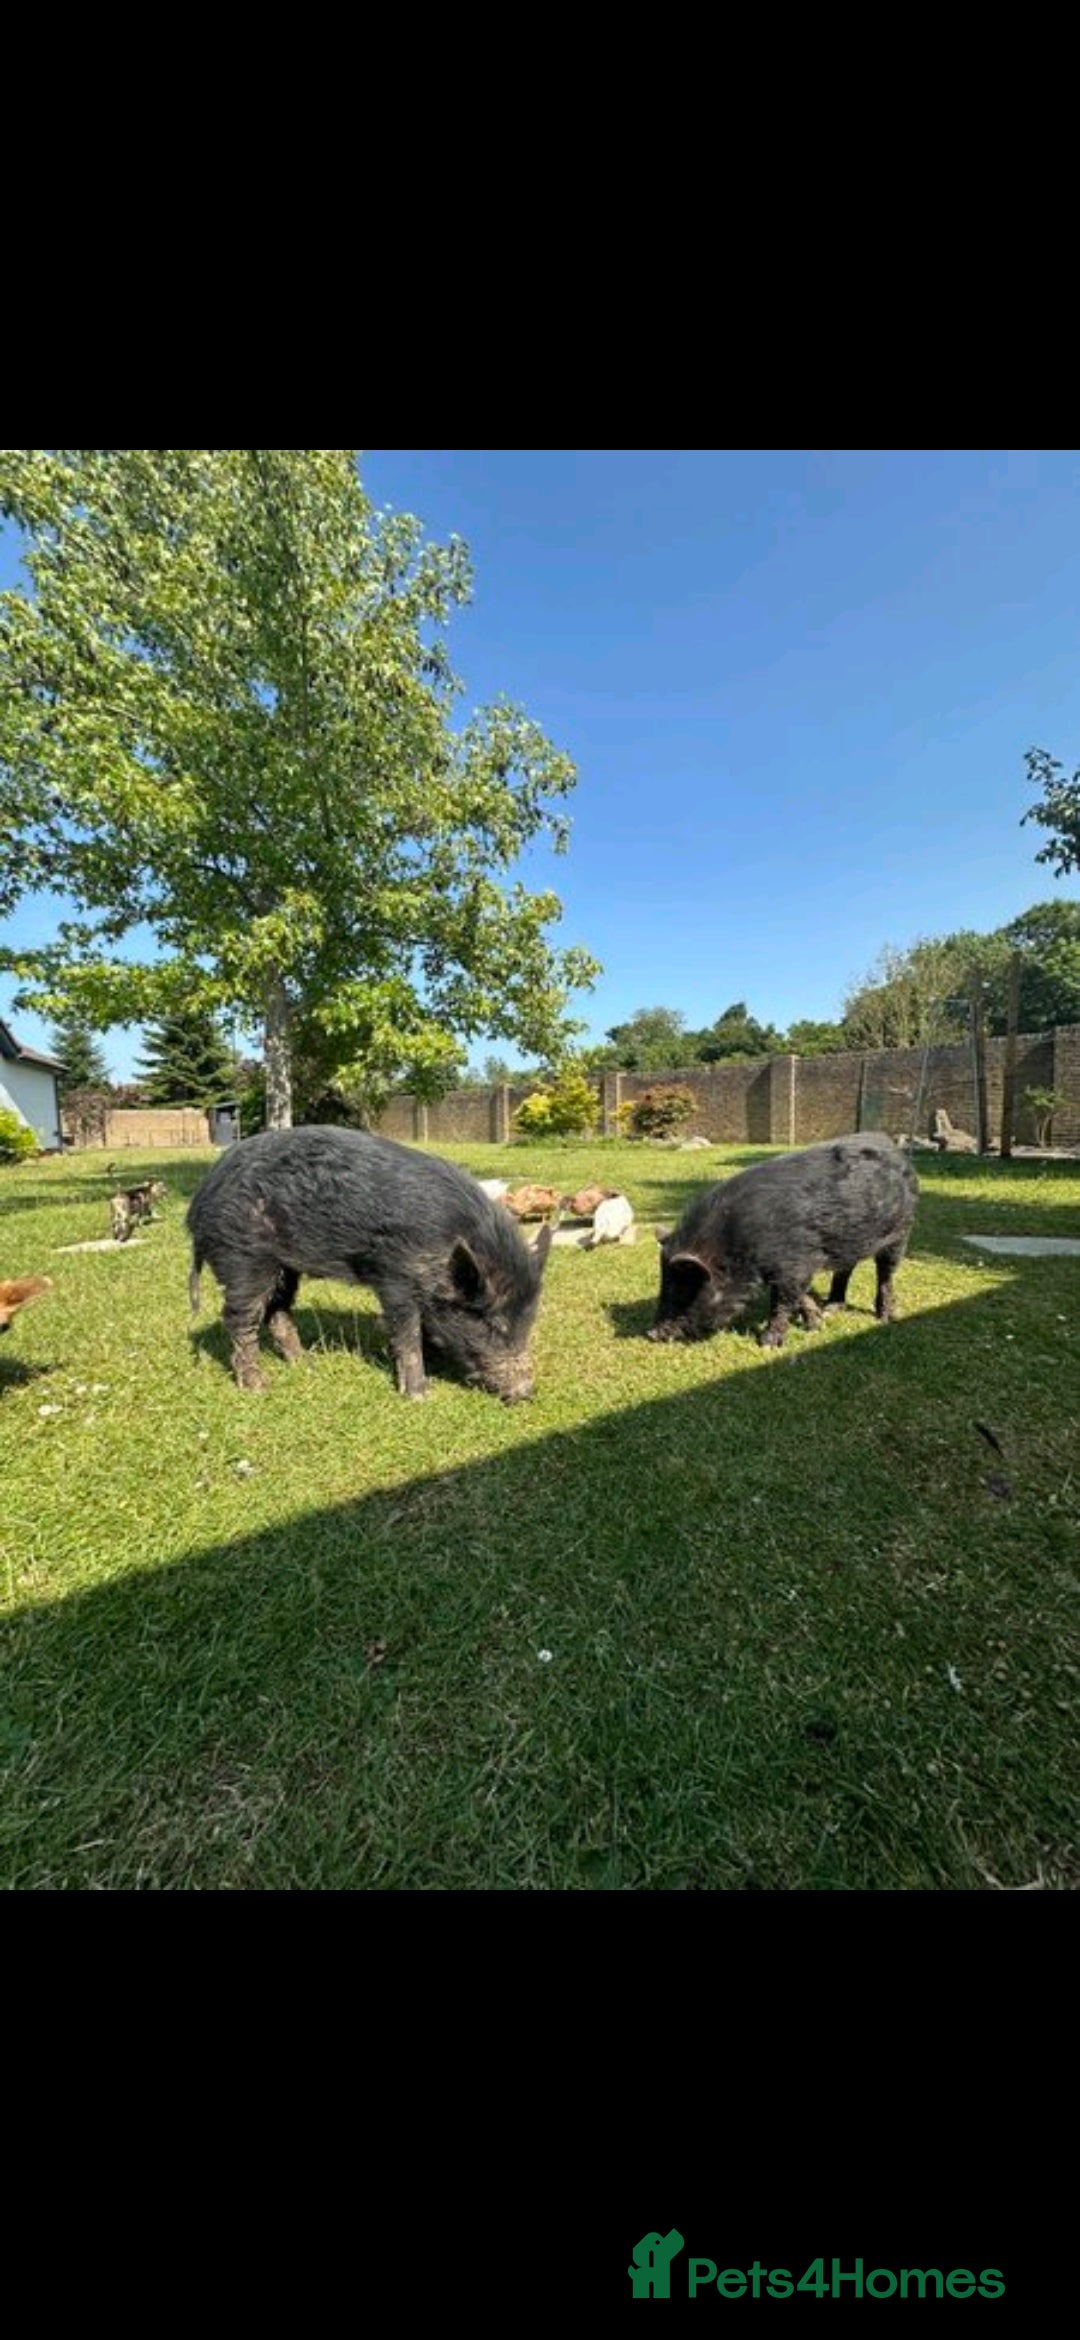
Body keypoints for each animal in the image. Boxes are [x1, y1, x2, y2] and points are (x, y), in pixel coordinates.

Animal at [187, 1126, 554, 1401]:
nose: (526, 1392)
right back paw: (258, 1387)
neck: (446, 1243)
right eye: (492, 1323)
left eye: (530, 1320)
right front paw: (420, 1395)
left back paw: (306, 1364)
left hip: (284, 1266)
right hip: (242, 1256)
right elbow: (406, 1331)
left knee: (277, 1311)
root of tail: (198, 1205)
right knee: (238, 1317)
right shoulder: (394, 1275)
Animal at [649, 1133, 918, 1349]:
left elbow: (783, 1301)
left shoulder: (794, 1264)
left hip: (901, 1231)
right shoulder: (796, 1266)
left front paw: (768, 1344)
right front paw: (817, 1325)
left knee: (886, 1274)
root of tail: (896, 1149)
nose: (651, 1333)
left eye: (684, 1289)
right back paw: (831, 1309)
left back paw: (887, 1317)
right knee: (845, 1269)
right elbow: (801, 1296)